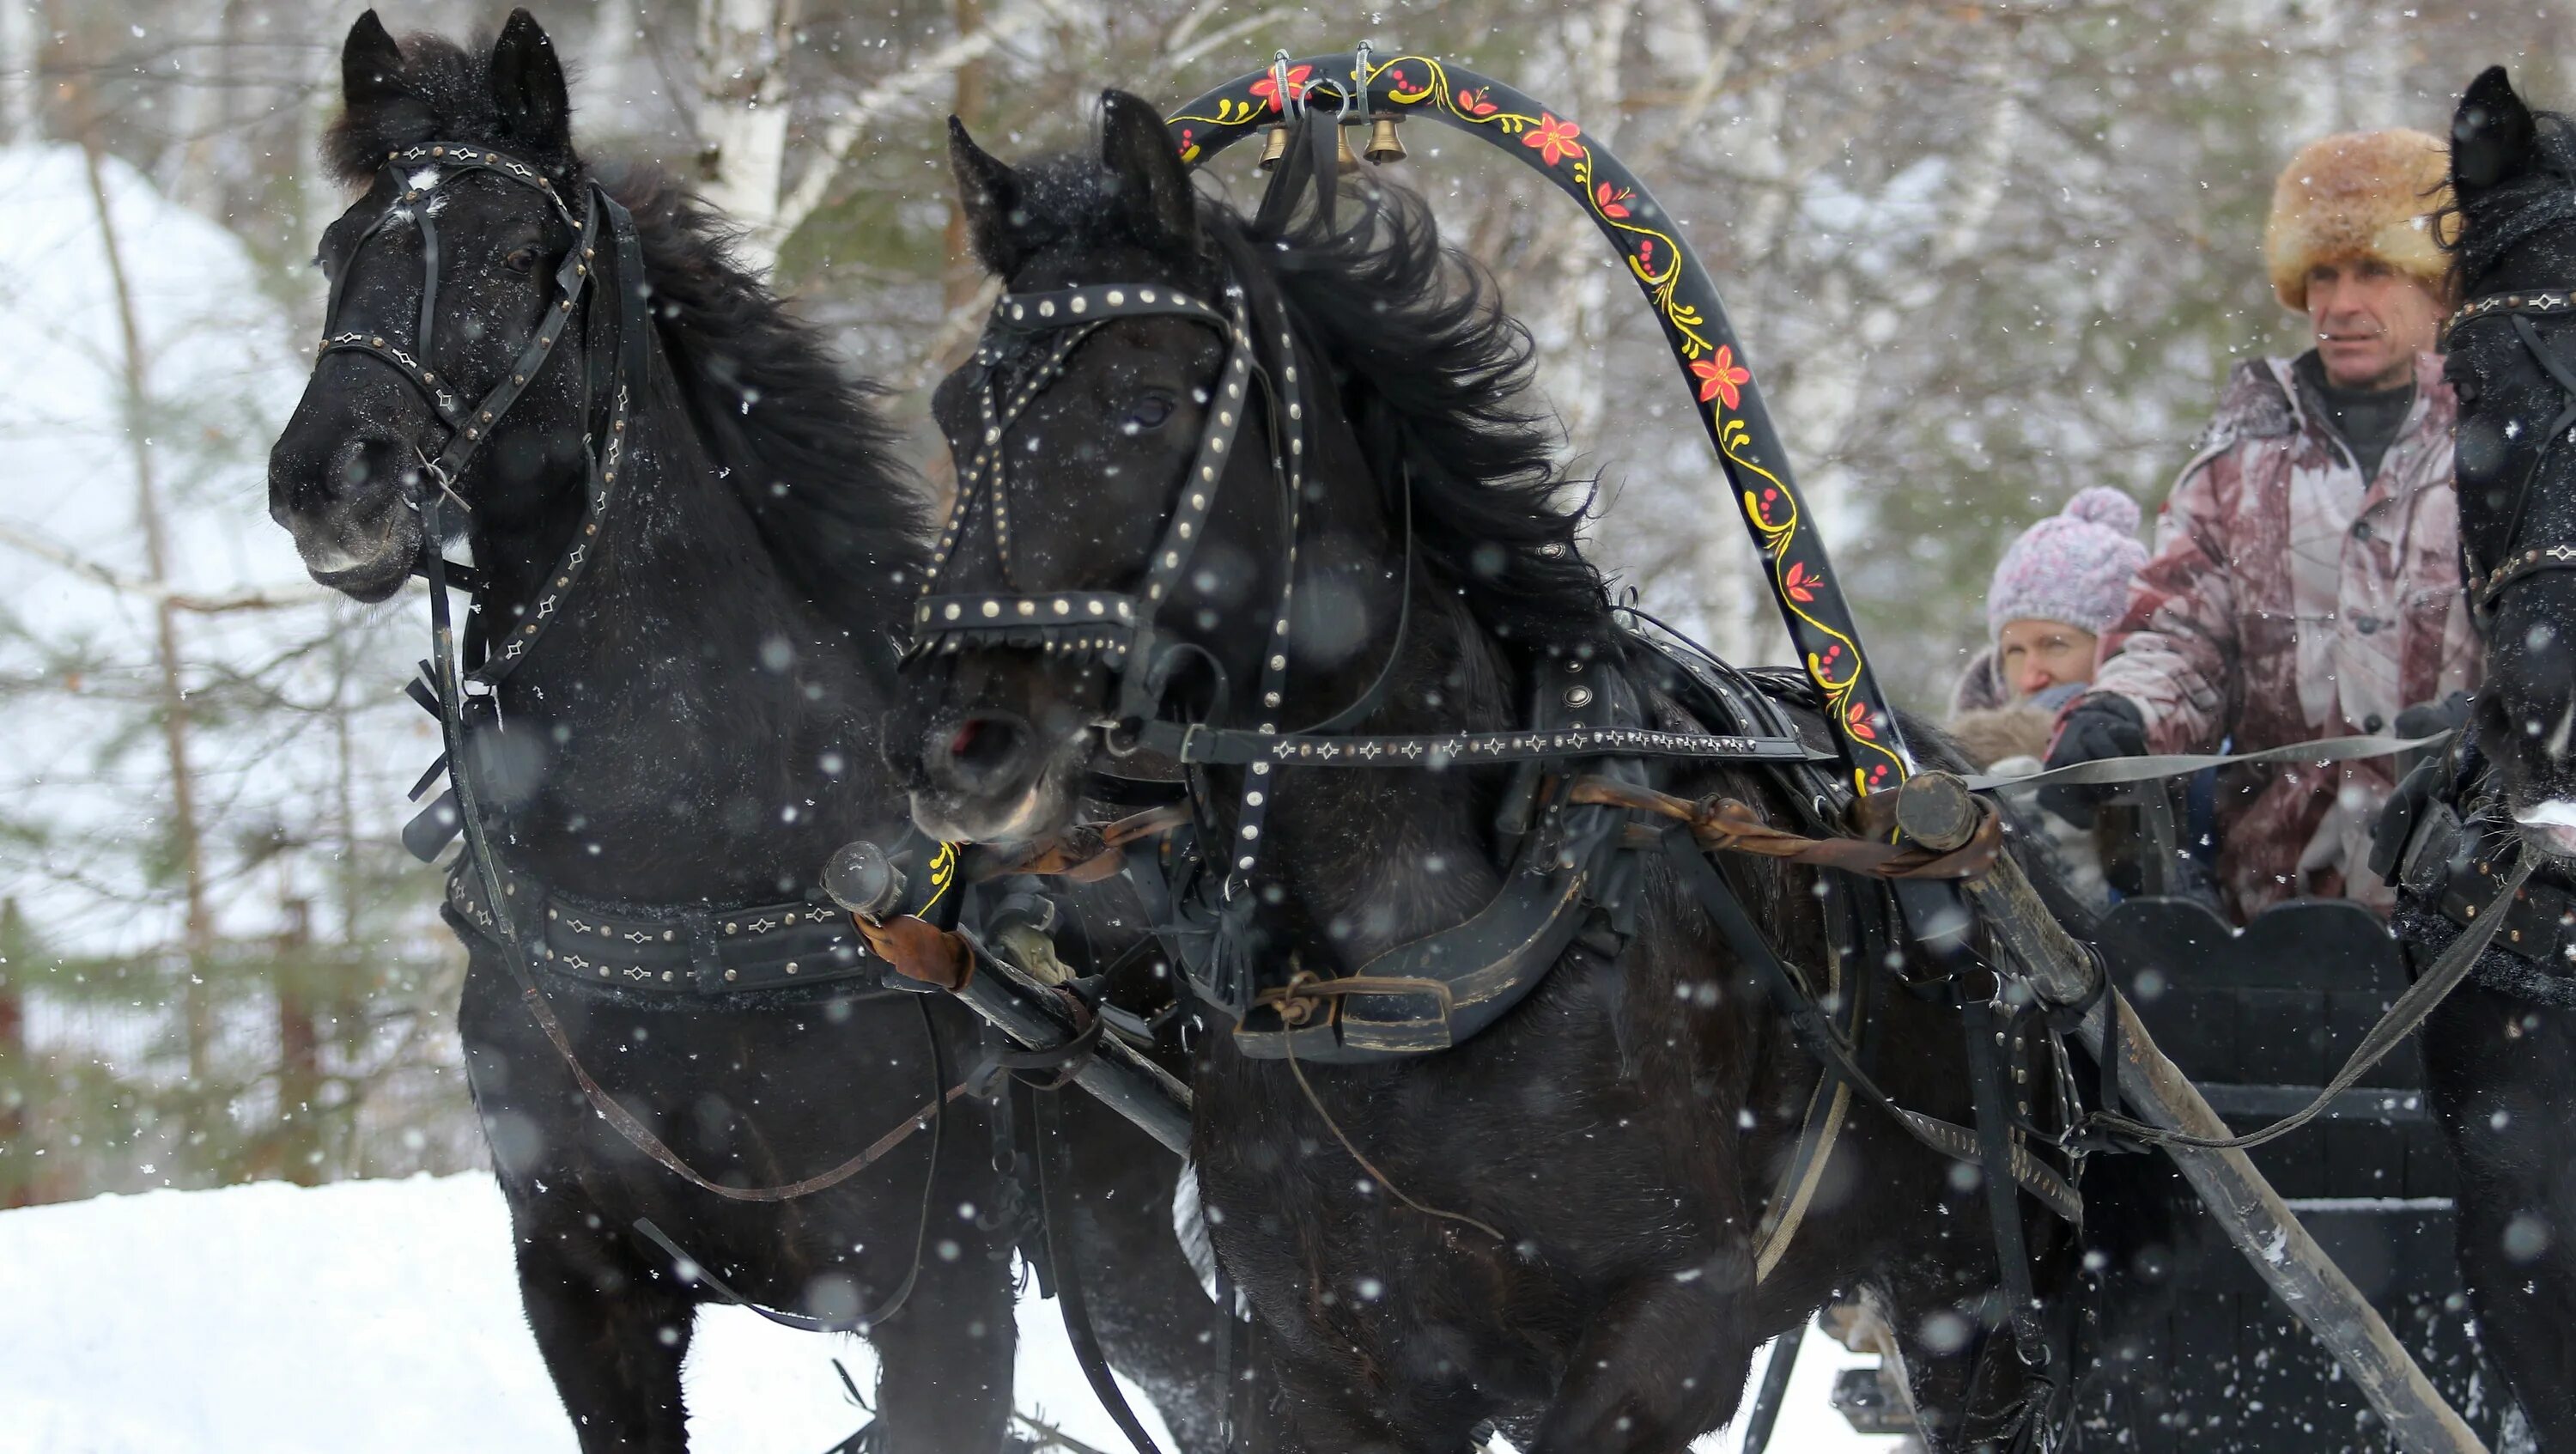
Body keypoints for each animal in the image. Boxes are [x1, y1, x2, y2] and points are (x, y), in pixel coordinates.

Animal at [266, 14, 1221, 1454]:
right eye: (338, 250)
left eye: (514, 255)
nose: (330, 479)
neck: (696, 858)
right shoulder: (583, 1278)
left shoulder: (942, 1298)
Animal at [886, 93, 2071, 1454]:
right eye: (951, 414)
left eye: (1139, 397)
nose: (945, 736)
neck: (1395, 957)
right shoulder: (1322, 1369)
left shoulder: (1667, 1330)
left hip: (1968, 1298)